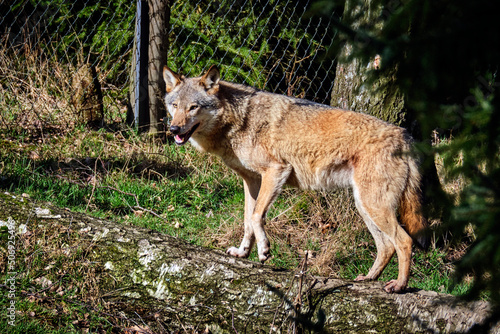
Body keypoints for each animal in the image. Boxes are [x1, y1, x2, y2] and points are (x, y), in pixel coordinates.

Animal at [162, 64, 428, 292]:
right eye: (174, 105)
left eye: (193, 107)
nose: (173, 129)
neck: (239, 120)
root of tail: (405, 136)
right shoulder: (251, 181)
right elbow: (247, 221)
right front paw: (242, 253)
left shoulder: (276, 171)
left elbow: (256, 216)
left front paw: (264, 250)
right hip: (364, 206)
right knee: (386, 247)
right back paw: (368, 279)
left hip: (374, 206)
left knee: (404, 242)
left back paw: (399, 286)